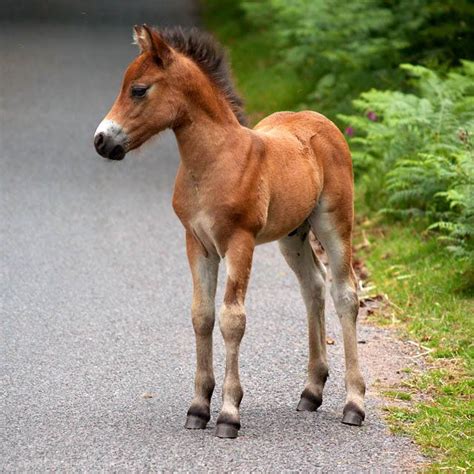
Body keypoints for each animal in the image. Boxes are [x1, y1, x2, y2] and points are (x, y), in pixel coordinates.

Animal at [93, 25, 366, 438]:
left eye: (139, 89)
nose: (102, 140)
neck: (215, 161)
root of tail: (320, 119)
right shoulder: (197, 243)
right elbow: (202, 316)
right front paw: (197, 408)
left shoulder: (240, 241)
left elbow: (232, 319)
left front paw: (228, 413)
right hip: (292, 234)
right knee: (313, 286)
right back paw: (311, 391)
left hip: (335, 221)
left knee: (345, 293)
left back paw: (354, 404)